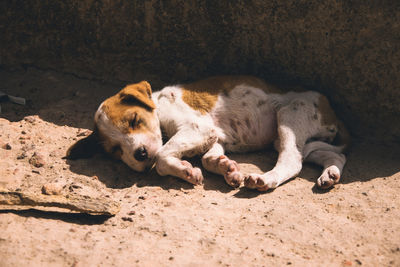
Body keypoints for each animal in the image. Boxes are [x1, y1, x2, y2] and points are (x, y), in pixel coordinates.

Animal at [67, 76, 348, 192]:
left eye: (134, 120)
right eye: (115, 151)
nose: (140, 154)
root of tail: (333, 112)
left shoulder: (198, 128)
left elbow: (162, 157)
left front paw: (185, 171)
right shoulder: (213, 136)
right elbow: (208, 157)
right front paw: (226, 168)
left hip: (291, 115)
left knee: (292, 160)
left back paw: (265, 180)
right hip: (295, 136)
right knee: (332, 155)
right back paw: (330, 175)